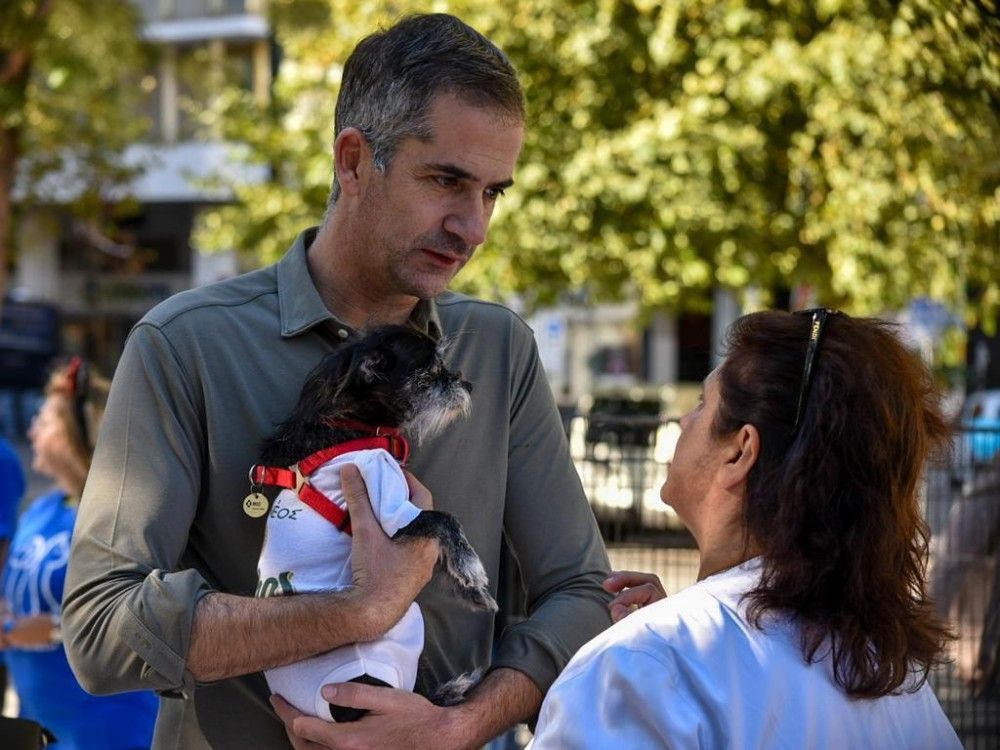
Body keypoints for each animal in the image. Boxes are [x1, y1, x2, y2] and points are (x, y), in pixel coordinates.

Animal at [250, 326, 496, 724]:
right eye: (431, 371)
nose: (467, 383)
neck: (351, 423)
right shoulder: (389, 496)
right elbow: (445, 521)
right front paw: (470, 568)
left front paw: (472, 591)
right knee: (416, 695)